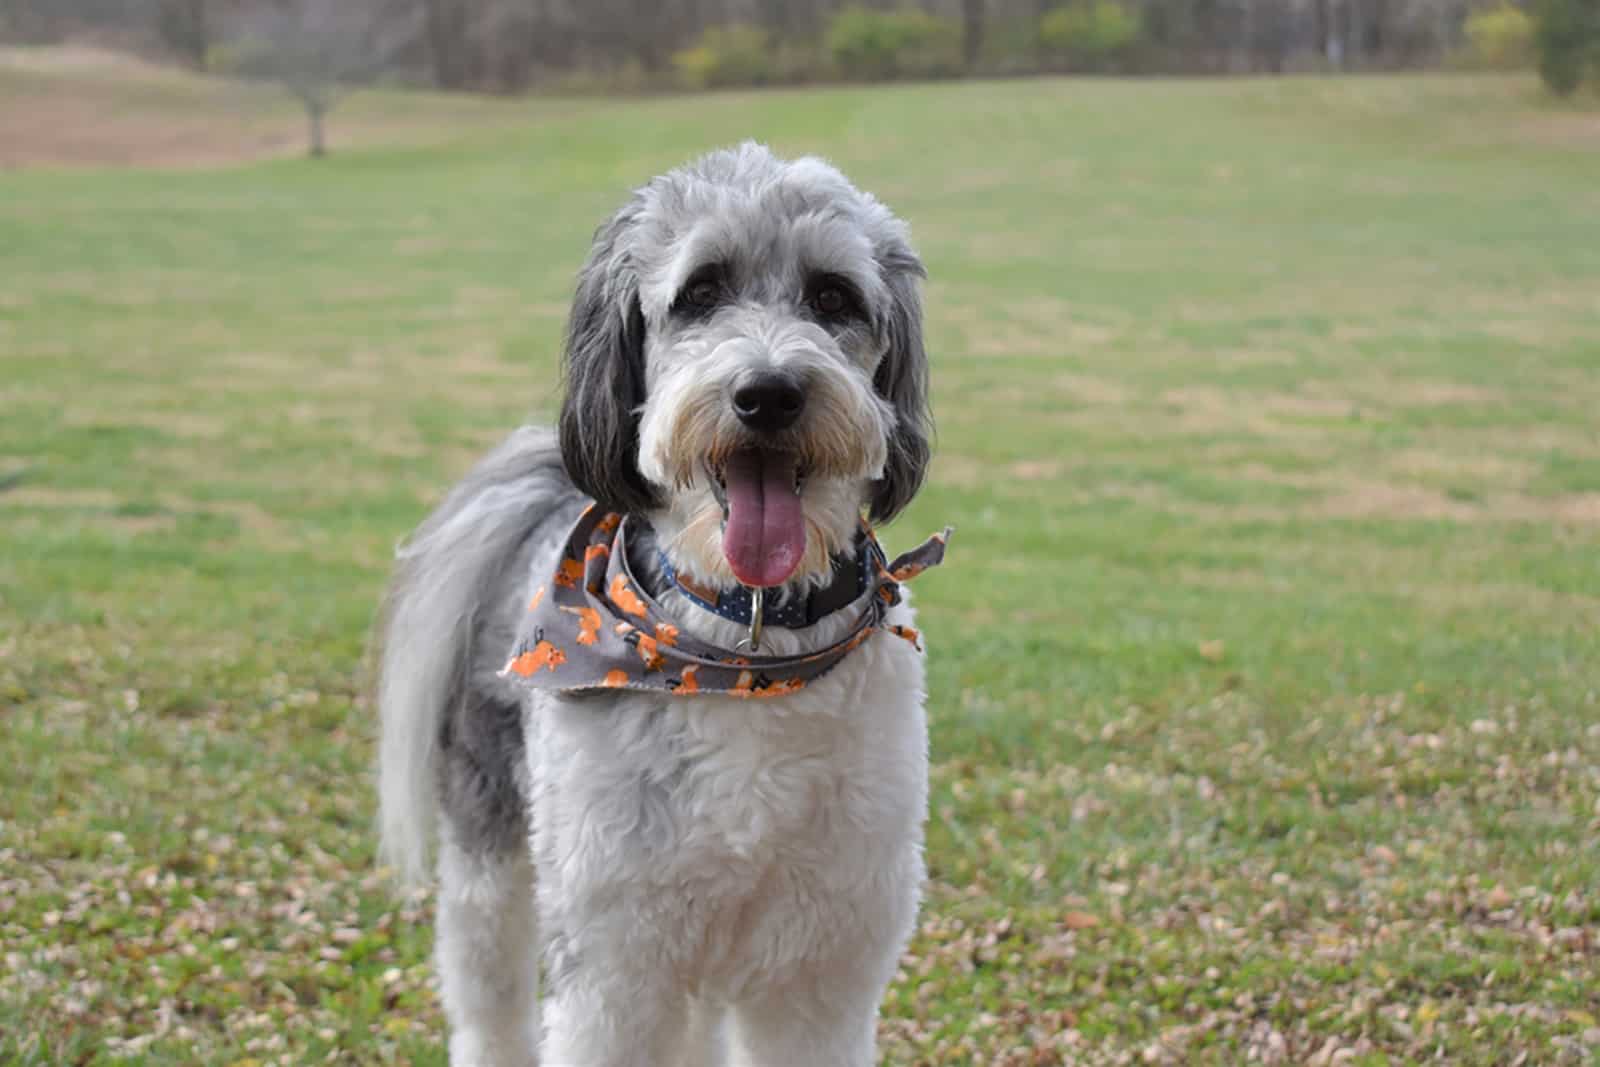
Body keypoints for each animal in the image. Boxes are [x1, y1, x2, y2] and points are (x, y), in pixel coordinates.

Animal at [376, 143, 940, 1067]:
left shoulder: (820, 963)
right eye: (702, 290)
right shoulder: (616, 961)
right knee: (487, 998)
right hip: (493, 854)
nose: (769, 392)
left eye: (832, 296)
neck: (742, 648)